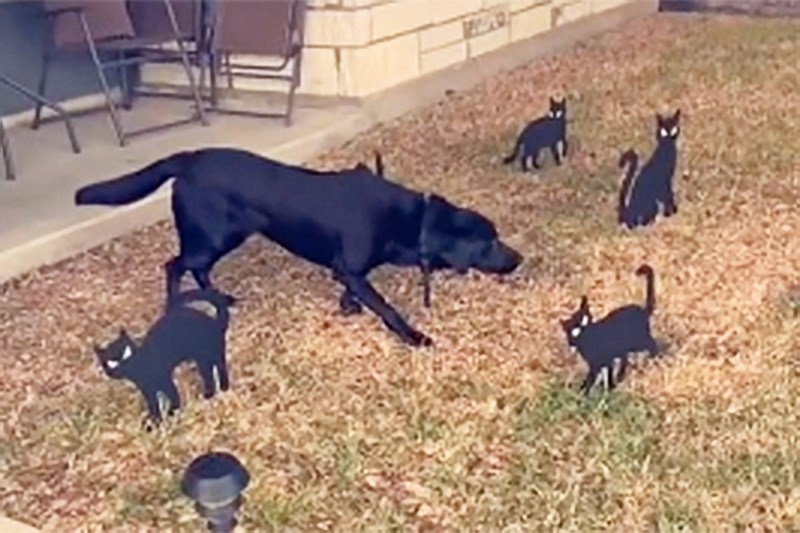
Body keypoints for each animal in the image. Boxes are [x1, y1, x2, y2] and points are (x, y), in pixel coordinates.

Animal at [75, 147, 520, 344]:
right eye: (490, 242)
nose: (519, 258)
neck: (414, 220)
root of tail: (187, 159)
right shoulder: (353, 266)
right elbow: (387, 308)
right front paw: (414, 337)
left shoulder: (347, 268)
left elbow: (353, 287)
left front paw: (348, 306)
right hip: (213, 234)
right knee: (175, 264)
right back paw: (175, 306)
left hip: (228, 235)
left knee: (196, 267)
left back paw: (221, 298)